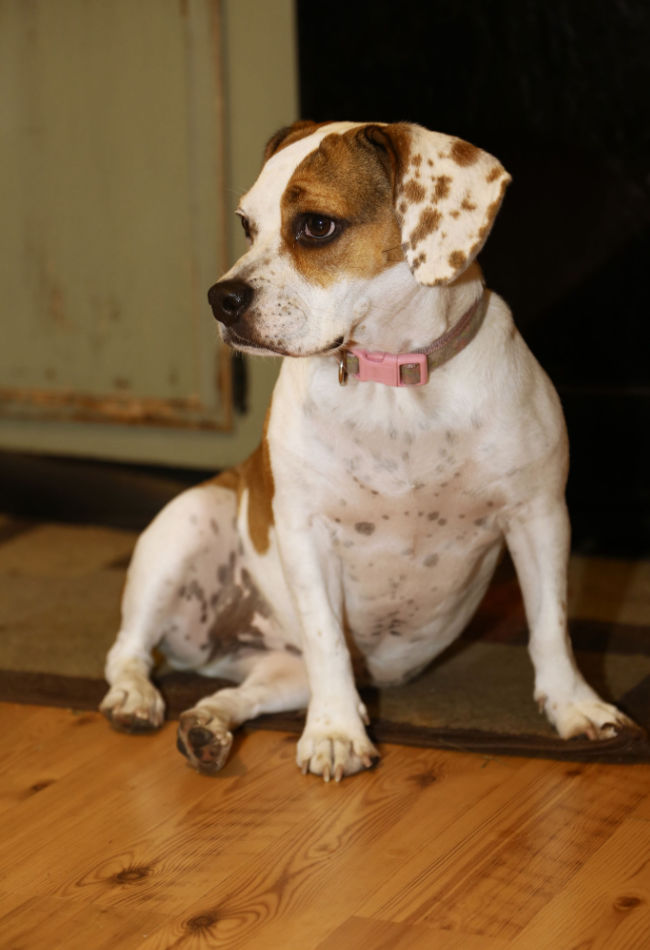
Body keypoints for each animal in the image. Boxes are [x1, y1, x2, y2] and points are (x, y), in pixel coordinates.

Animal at [100, 121, 632, 780]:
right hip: (187, 524)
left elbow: (550, 624)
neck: (394, 383)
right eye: (246, 223)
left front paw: (573, 705)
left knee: (235, 695)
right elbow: (328, 638)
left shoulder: (539, 516)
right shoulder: (306, 534)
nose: (220, 298)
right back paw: (134, 698)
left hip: (282, 674)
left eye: (316, 226)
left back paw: (206, 728)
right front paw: (334, 734)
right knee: (127, 650)